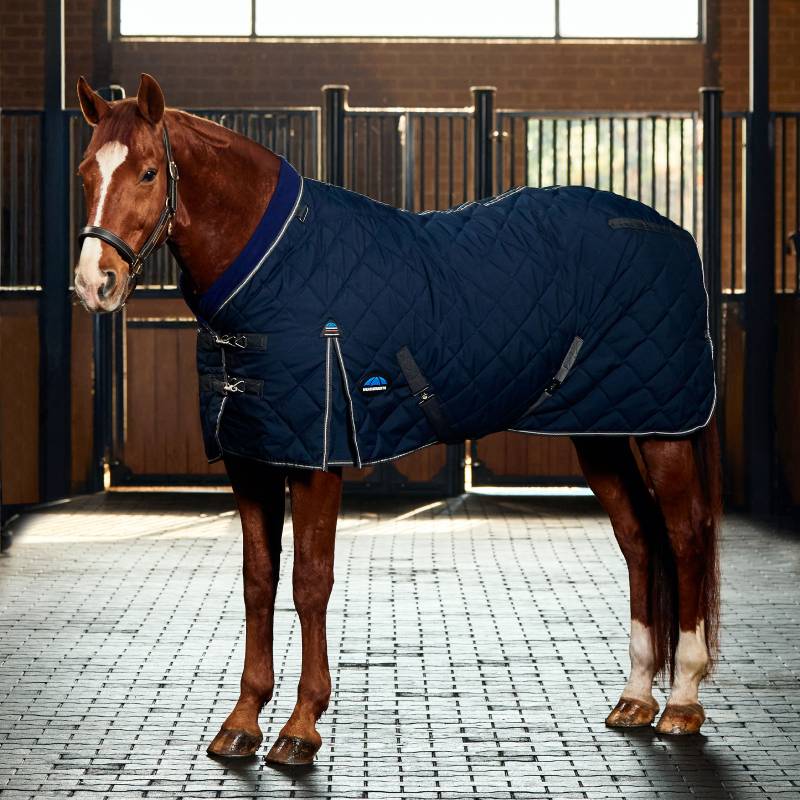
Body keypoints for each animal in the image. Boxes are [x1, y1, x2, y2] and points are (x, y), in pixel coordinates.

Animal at [73, 73, 721, 765]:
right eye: (86, 171)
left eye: (147, 172)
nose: (94, 283)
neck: (276, 269)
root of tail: (676, 234)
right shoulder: (252, 456)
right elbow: (257, 582)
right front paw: (242, 721)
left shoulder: (317, 458)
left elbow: (309, 582)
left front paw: (300, 726)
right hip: (600, 430)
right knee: (639, 540)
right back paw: (635, 699)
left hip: (661, 429)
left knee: (684, 536)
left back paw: (683, 703)